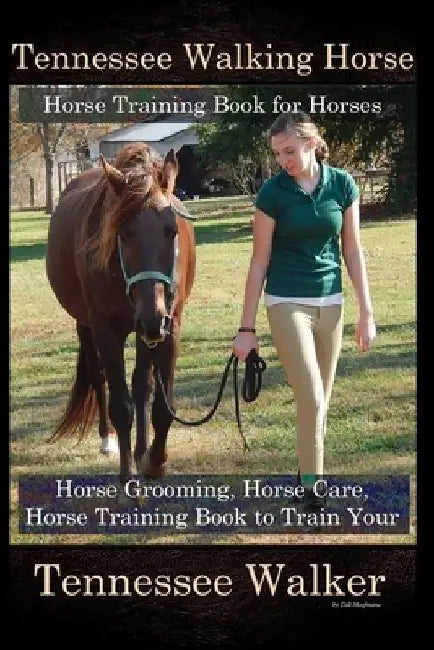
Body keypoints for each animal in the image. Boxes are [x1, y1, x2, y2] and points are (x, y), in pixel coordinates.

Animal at [45, 143, 196, 484]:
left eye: (171, 231)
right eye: (123, 232)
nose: (153, 317)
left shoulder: (170, 327)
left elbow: (160, 405)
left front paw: (155, 461)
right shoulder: (105, 330)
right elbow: (120, 406)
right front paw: (128, 474)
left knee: (142, 385)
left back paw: (141, 450)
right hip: (88, 327)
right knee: (98, 377)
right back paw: (108, 440)